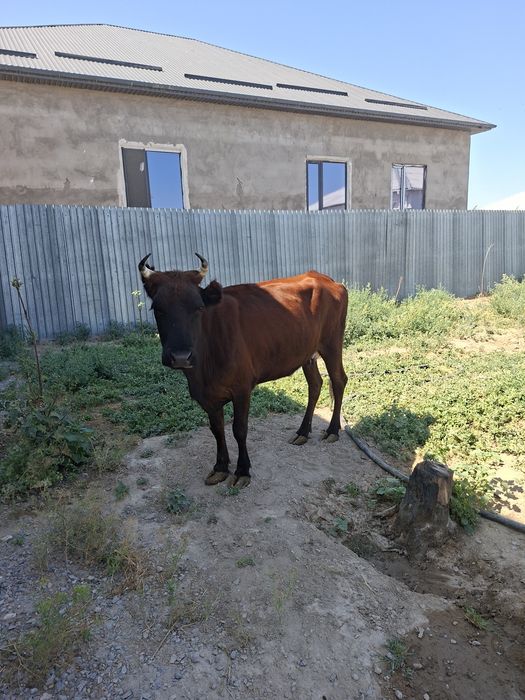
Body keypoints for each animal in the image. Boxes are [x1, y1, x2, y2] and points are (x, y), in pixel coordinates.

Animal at [138, 253, 348, 488]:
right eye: (158, 309)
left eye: (198, 308)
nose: (181, 357)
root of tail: (325, 278)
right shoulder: (207, 396)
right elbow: (217, 429)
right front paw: (220, 467)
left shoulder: (242, 388)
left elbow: (239, 429)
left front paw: (242, 471)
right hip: (307, 353)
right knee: (315, 385)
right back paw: (302, 432)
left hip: (332, 343)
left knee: (339, 380)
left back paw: (332, 430)